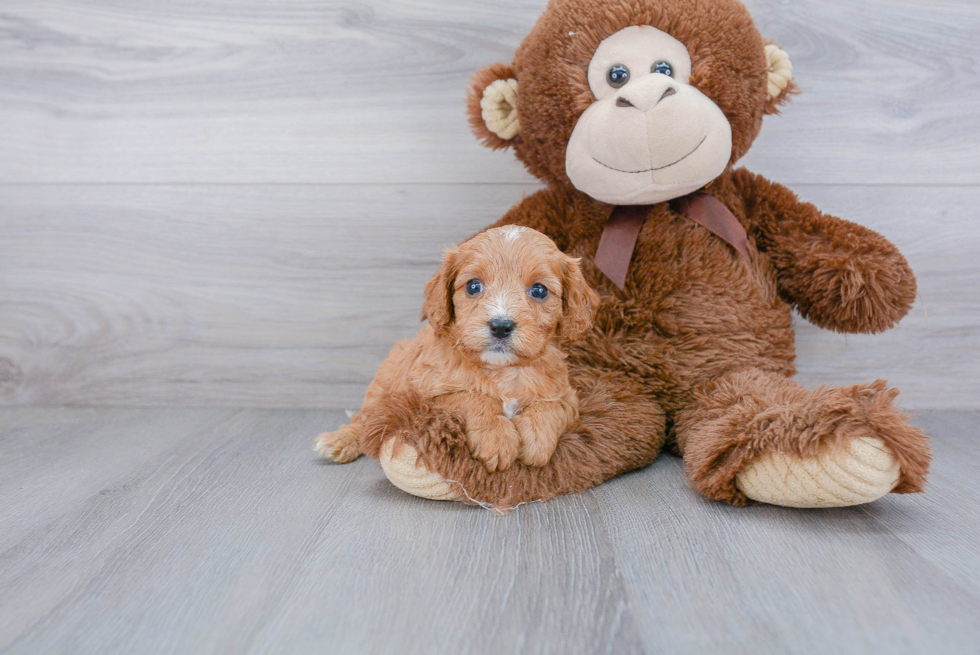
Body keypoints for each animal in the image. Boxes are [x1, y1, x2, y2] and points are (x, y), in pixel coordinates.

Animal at [318, 226, 600, 472]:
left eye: (539, 290)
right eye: (473, 286)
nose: (500, 326)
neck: (502, 370)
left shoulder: (567, 396)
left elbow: (551, 408)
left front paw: (537, 439)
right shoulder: (426, 396)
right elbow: (470, 397)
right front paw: (495, 438)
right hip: (385, 383)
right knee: (365, 418)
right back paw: (340, 441)